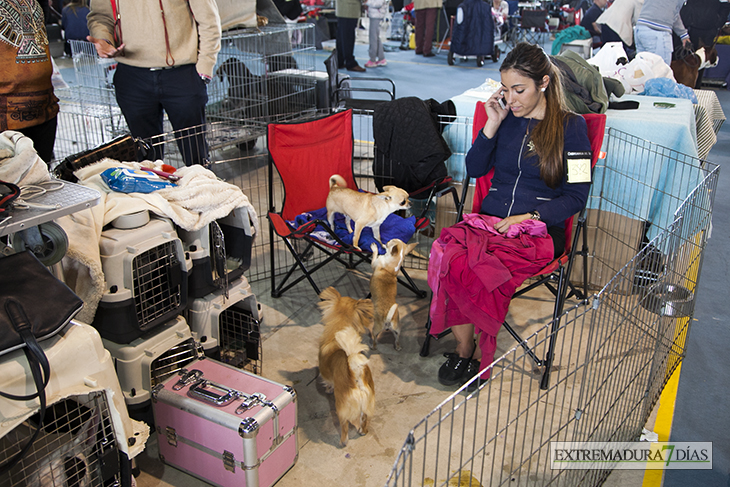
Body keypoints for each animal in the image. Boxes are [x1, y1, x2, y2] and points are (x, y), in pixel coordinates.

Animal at [318, 288, 376, 448]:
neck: (341, 323)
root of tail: (354, 370)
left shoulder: (325, 373)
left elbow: (328, 382)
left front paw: (328, 388)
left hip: (341, 408)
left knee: (344, 426)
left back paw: (343, 441)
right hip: (367, 403)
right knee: (365, 419)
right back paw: (363, 431)